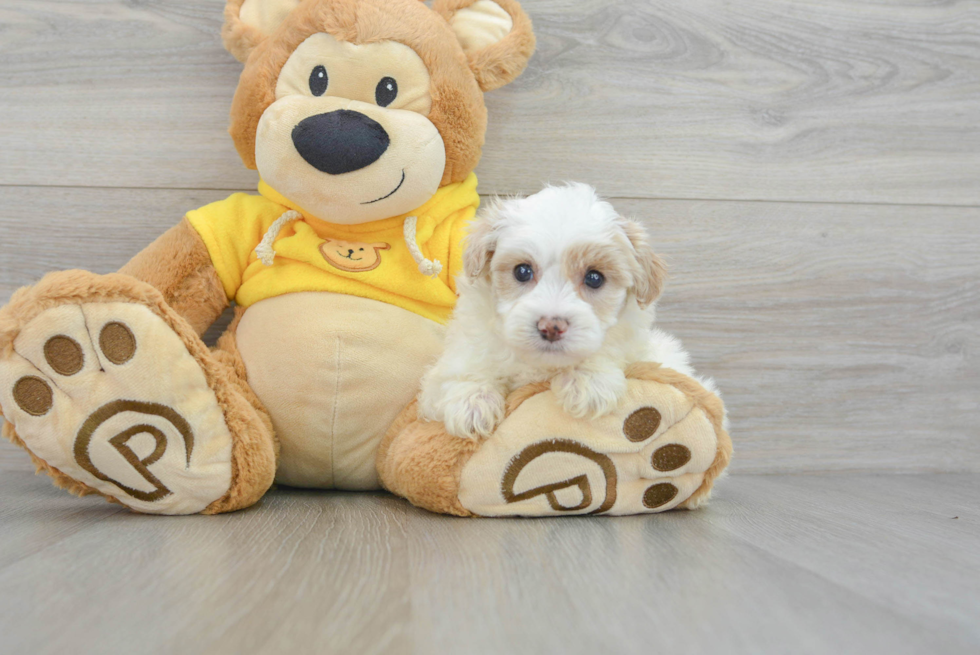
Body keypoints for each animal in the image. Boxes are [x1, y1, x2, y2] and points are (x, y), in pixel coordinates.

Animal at [422, 182, 704, 440]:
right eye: (522, 271)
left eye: (594, 278)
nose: (551, 327)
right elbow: (462, 367)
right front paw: (472, 402)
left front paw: (589, 380)